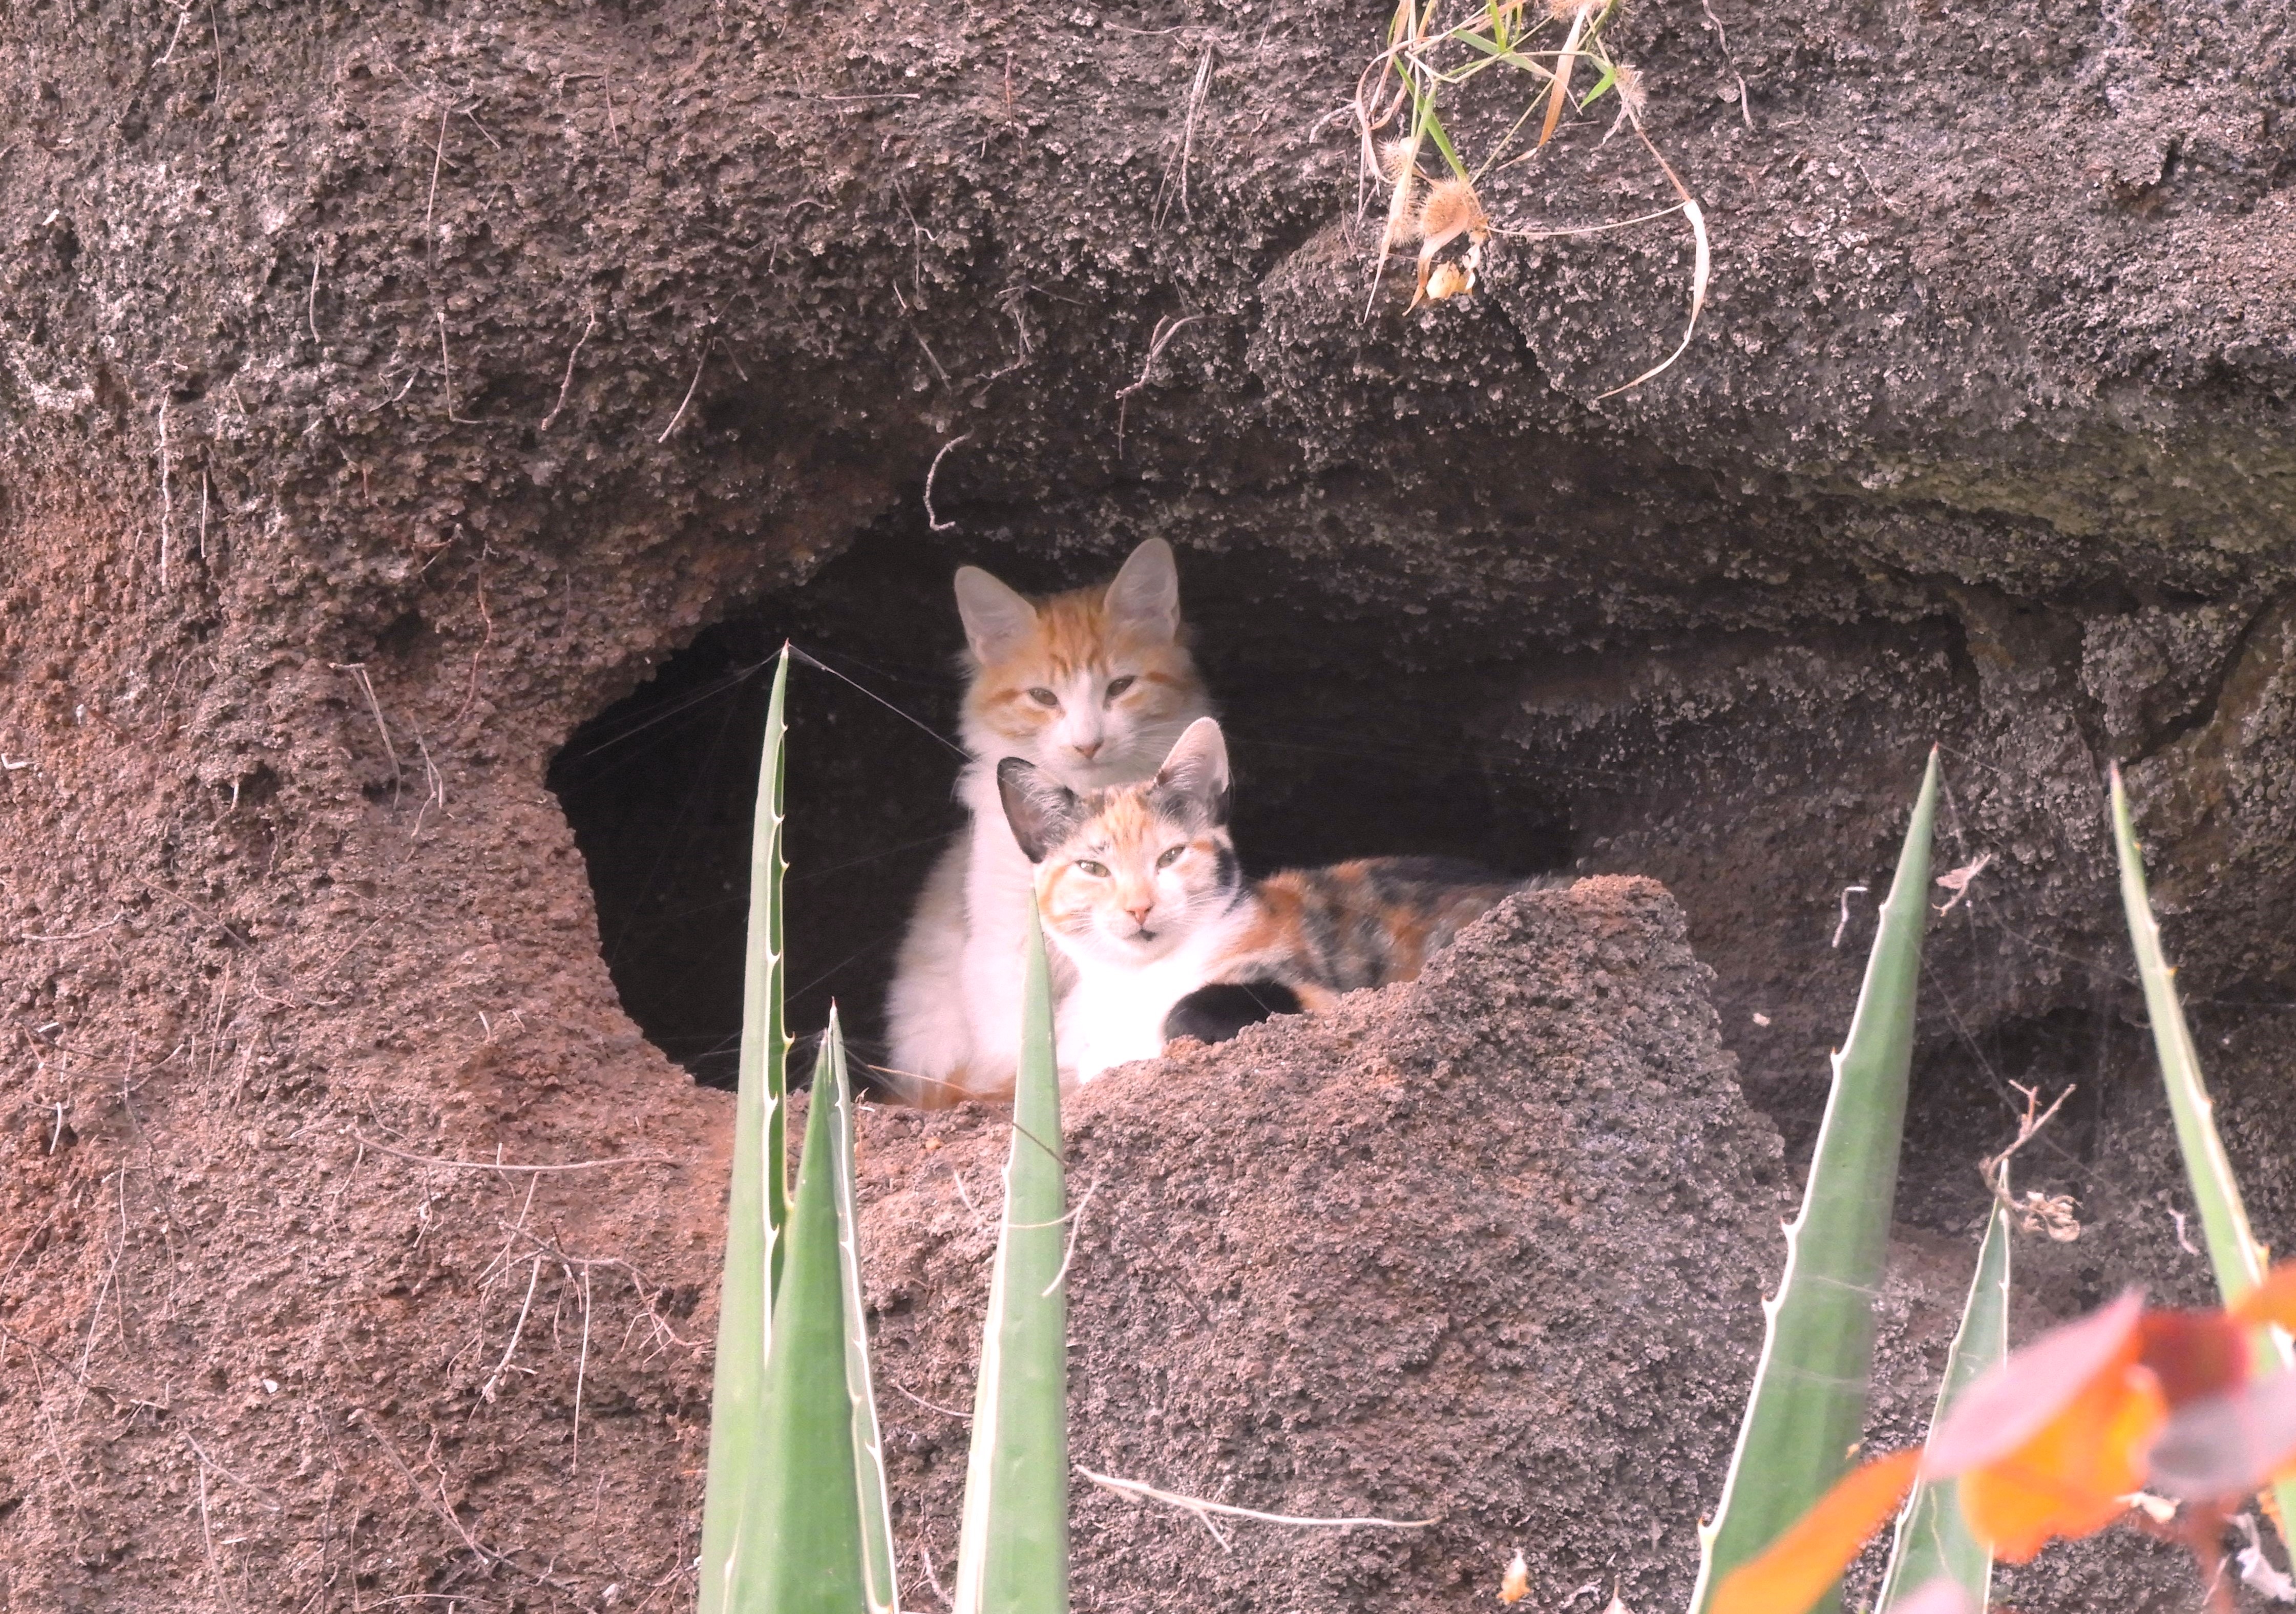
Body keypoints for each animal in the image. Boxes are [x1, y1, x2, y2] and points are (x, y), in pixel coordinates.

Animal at [996, 721, 1533, 1083]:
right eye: (1093, 868)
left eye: (1171, 856)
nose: (1139, 908)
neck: (1141, 978)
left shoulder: (1317, 994)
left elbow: (1184, 1013)